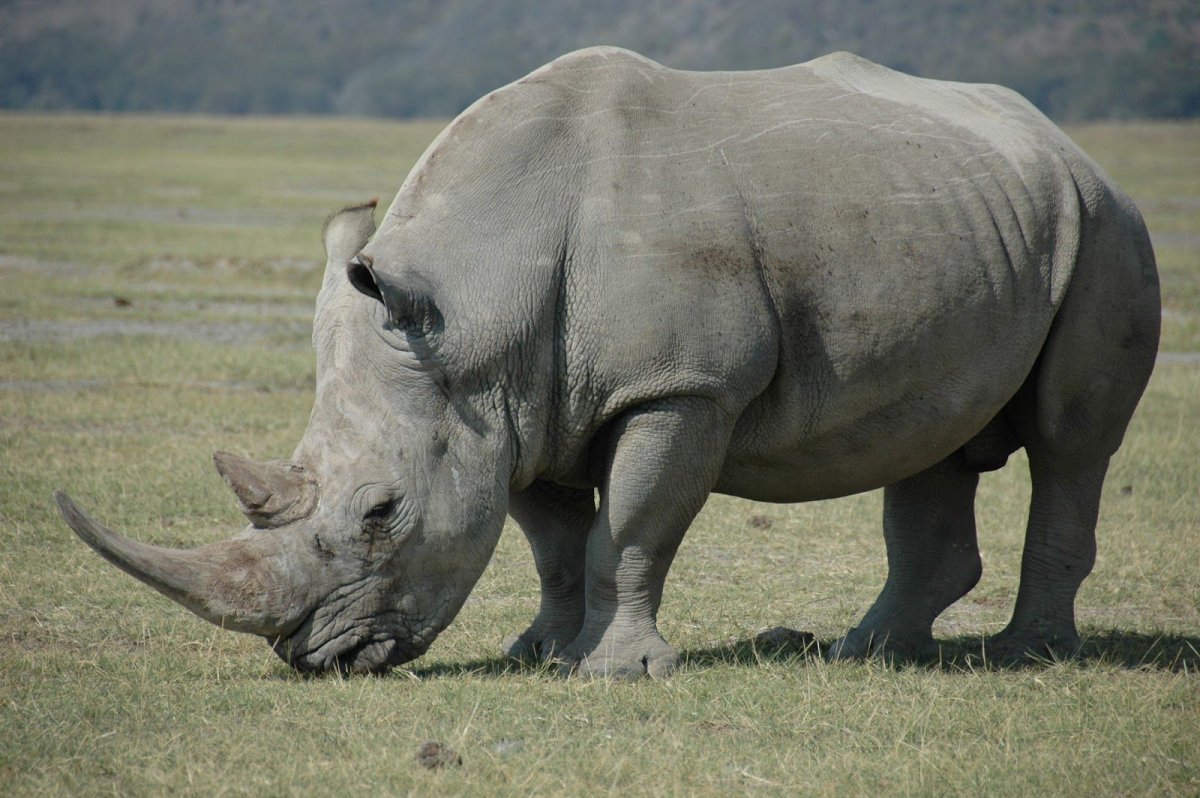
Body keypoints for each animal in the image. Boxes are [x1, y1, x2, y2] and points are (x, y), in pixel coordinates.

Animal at [56, 47, 1160, 678]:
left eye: (380, 513)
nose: (315, 659)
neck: (474, 298)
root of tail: (1064, 142)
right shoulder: (512, 404)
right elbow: (552, 540)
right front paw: (538, 653)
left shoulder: (678, 388)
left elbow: (629, 530)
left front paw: (615, 672)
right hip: (961, 216)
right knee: (931, 437)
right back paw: (870, 654)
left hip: (1108, 226)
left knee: (1072, 444)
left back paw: (1031, 656)